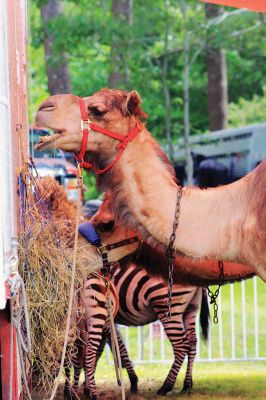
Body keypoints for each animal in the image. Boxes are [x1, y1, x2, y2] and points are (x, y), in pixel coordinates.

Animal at [64, 264, 208, 398]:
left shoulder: (104, 321)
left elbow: (102, 351)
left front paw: (77, 388)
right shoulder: (108, 322)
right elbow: (110, 349)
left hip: (168, 306)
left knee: (181, 346)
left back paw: (166, 386)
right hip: (191, 308)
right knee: (192, 343)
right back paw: (187, 384)